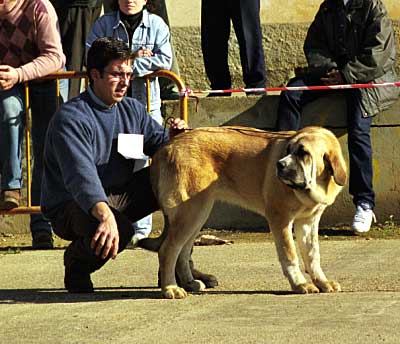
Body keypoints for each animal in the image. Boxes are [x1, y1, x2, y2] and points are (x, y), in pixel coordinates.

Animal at [141, 125, 346, 298]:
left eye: (304, 153)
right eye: (288, 151)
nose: (279, 165)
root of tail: (165, 148)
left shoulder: (308, 222)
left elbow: (312, 255)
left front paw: (322, 282)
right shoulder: (280, 218)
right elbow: (290, 254)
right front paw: (299, 284)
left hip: (197, 214)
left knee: (182, 252)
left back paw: (190, 283)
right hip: (190, 213)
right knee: (167, 250)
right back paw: (171, 288)